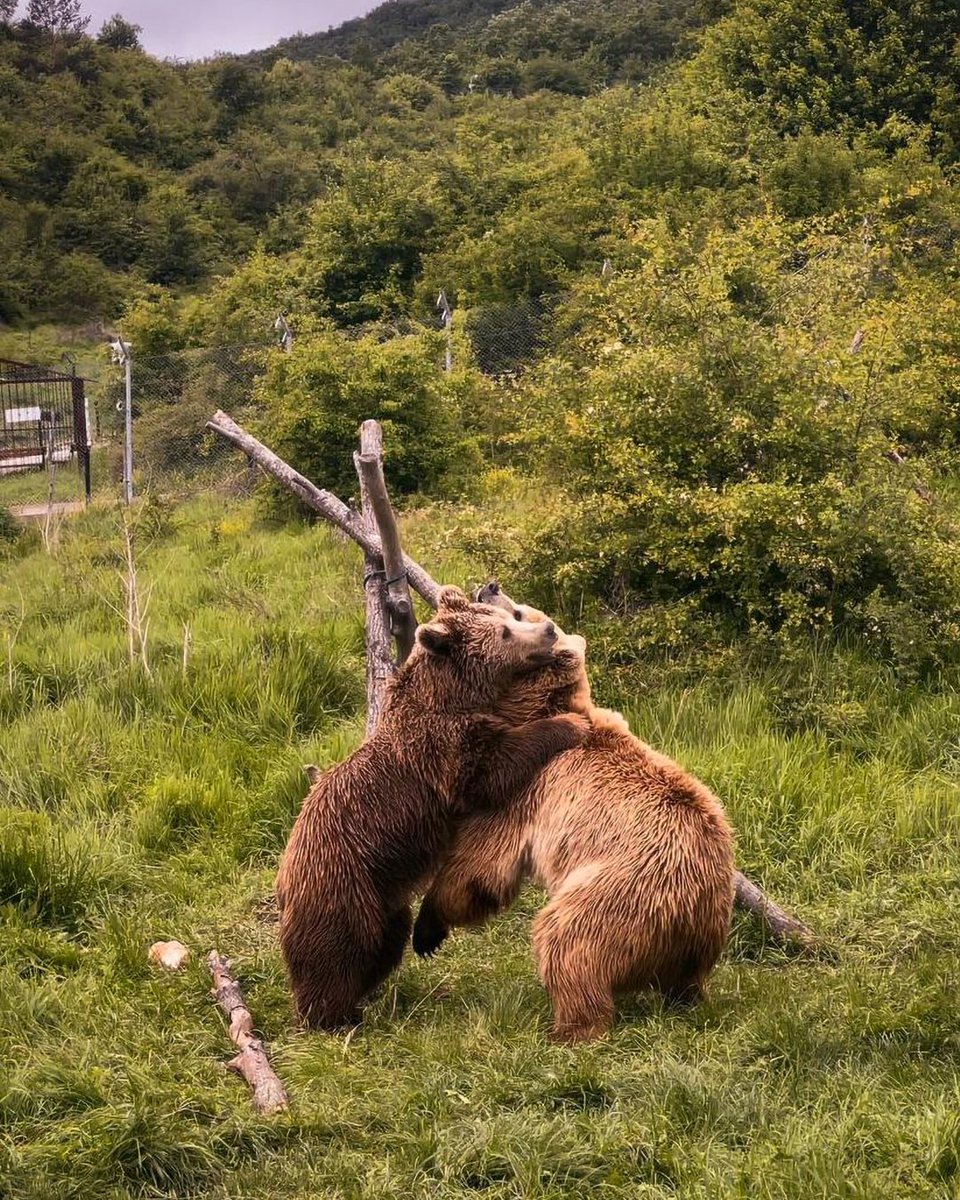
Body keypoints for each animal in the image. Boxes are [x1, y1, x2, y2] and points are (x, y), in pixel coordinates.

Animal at [275, 585, 591, 1030]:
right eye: (506, 632)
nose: (546, 629)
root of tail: (286, 873)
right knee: (336, 951)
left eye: (509, 619)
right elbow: (491, 767)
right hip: (342, 885)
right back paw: (333, 1015)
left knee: (385, 942)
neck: (452, 697)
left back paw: (369, 992)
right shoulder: (441, 750)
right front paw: (570, 724)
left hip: (386, 895)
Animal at [412, 585, 735, 1043]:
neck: (533, 710)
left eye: (518, 613)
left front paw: (428, 927)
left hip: (622, 893)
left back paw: (568, 1030)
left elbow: (481, 866)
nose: (490, 586)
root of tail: (694, 917)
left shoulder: (525, 788)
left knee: (566, 942)